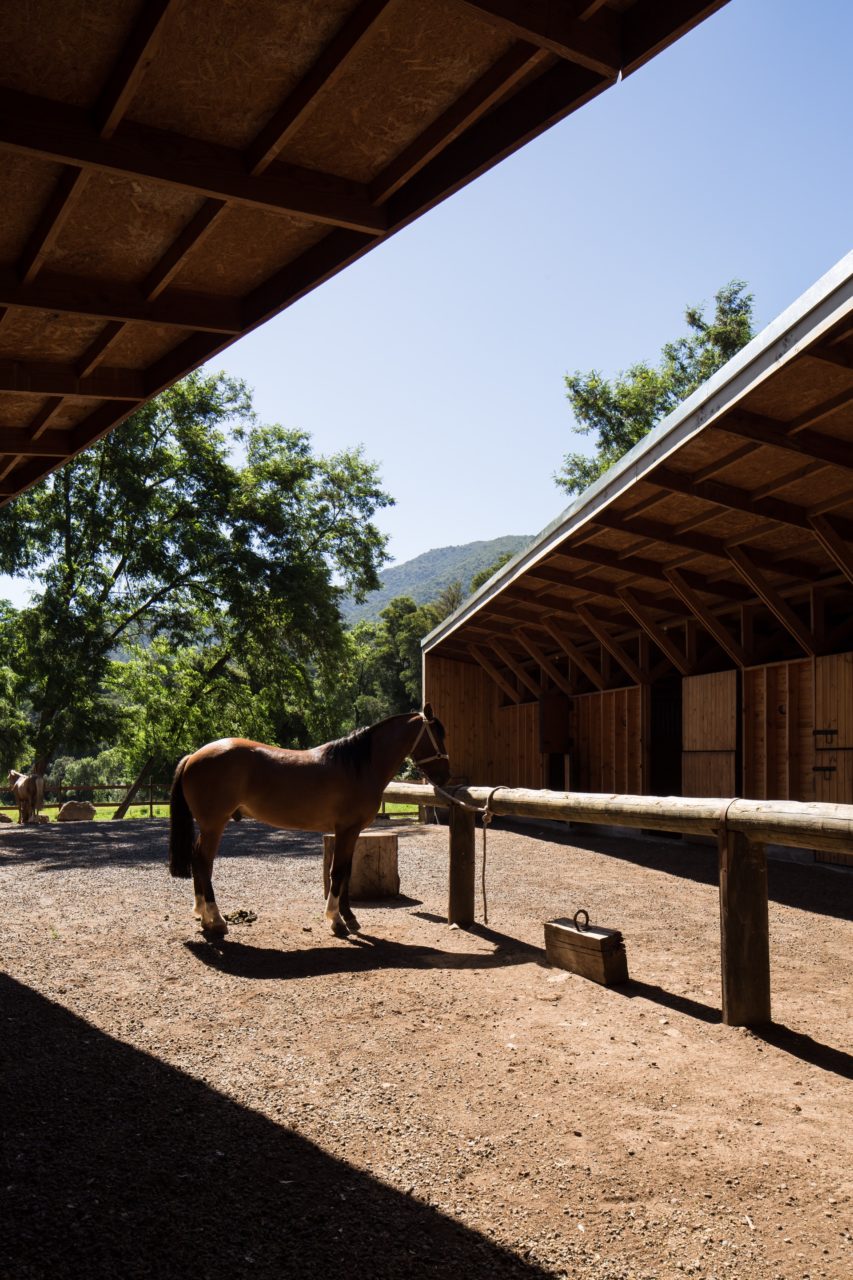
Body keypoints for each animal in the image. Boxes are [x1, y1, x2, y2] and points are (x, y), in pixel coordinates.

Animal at [163, 706, 445, 936]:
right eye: (438, 736)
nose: (446, 774)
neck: (358, 766)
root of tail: (193, 756)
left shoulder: (349, 832)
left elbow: (346, 872)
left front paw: (349, 918)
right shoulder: (347, 830)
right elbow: (338, 872)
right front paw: (336, 920)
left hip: (209, 826)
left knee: (199, 861)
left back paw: (204, 917)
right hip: (214, 825)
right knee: (203, 862)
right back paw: (217, 919)